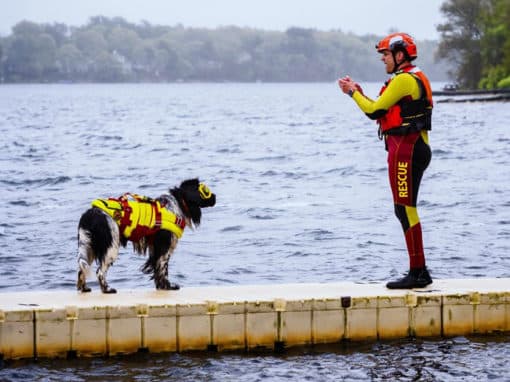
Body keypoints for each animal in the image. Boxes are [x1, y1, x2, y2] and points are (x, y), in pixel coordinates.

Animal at [75, 178, 215, 292]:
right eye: (206, 191)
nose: (215, 196)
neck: (177, 203)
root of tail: (90, 214)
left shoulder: (155, 247)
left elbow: (157, 270)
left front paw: (161, 286)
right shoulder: (164, 248)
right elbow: (163, 269)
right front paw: (168, 287)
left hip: (89, 246)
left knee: (81, 270)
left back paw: (84, 288)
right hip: (110, 246)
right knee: (99, 272)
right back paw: (107, 289)